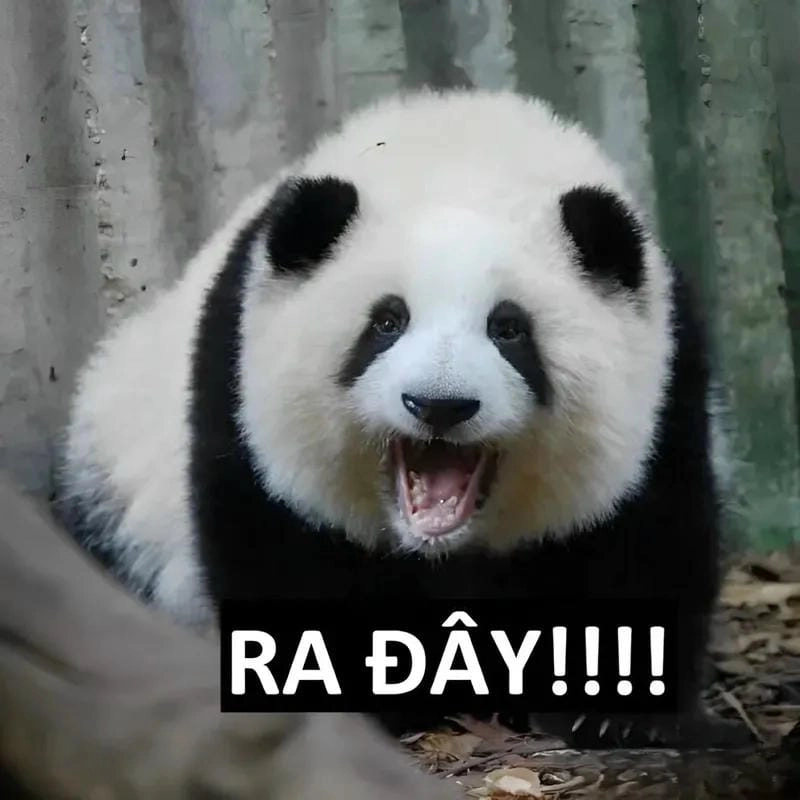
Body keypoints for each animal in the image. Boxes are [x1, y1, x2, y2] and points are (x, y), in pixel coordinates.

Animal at [54, 87, 747, 749]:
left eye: (509, 329)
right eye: (387, 322)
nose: (440, 404)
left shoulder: (668, 384)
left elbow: (648, 535)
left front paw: (617, 714)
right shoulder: (238, 380)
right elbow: (276, 544)